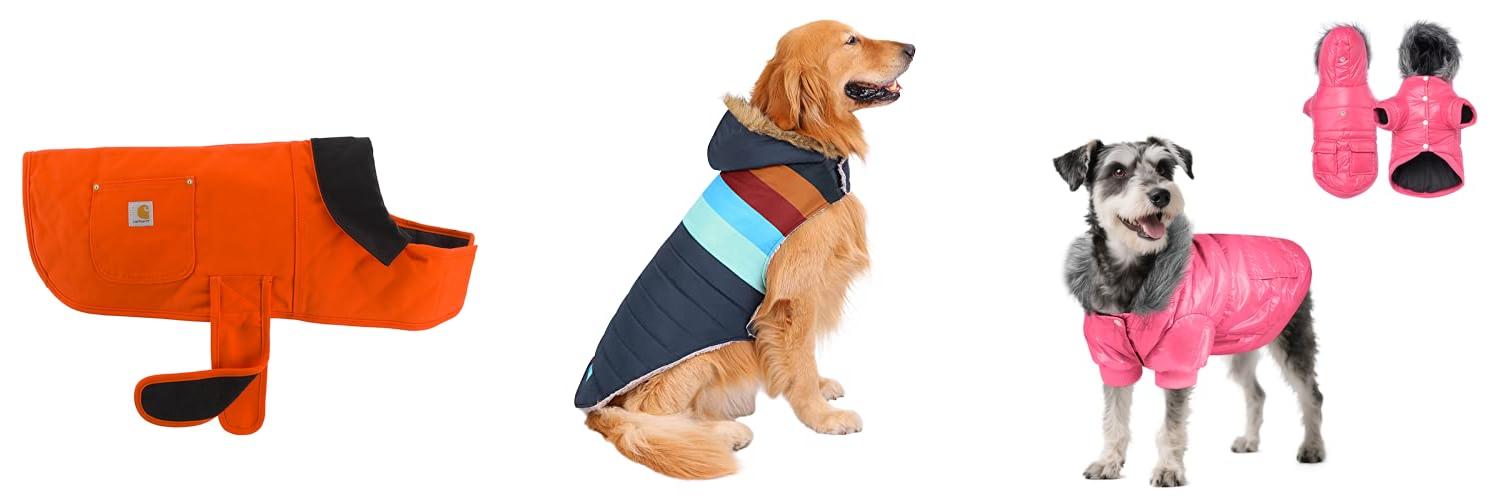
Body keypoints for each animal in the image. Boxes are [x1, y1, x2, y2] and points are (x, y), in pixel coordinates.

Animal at [578, 20, 914, 479]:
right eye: (851, 41)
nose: (912, 48)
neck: (801, 142)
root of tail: (595, 409)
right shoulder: (794, 294)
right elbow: (800, 360)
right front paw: (821, 417)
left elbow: (803, 356)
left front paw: (820, 388)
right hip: (704, 357)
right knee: (643, 417)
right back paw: (724, 432)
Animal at [1053, 138, 1326, 487]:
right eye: (1117, 171)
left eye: (1163, 168)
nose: (1161, 195)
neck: (1133, 272)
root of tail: (1291, 247)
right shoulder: (1114, 361)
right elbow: (1114, 417)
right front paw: (1108, 462)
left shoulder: (1178, 361)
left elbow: (1172, 424)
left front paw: (1169, 469)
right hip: (1242, 345)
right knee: (1257, 393)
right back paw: (1250, 441)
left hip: (1292, 339)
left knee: (1311, 393)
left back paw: (1313, 447)